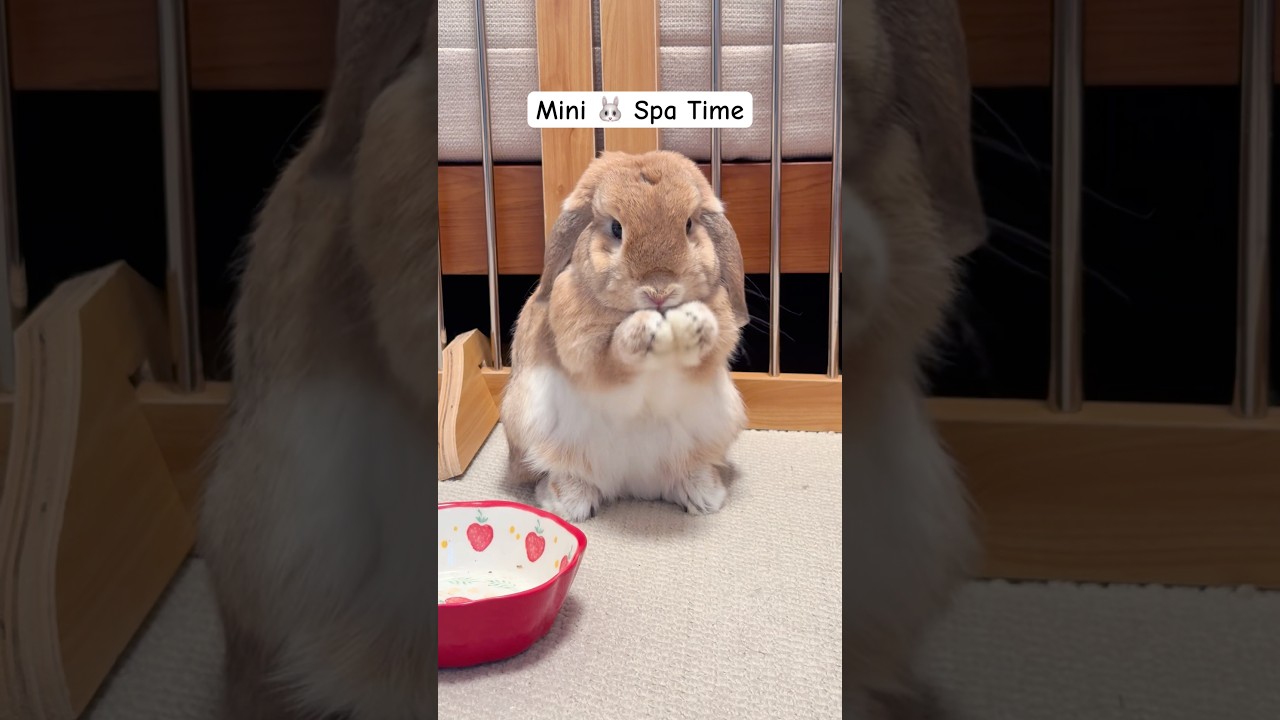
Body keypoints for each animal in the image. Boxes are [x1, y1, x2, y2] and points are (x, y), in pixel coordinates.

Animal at [500, 149, 750, 523]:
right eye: (616, 228)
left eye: (689, 225)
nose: (659, 291)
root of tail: (634, 485)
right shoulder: (584, 353)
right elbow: (612, 361)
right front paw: (642, 331)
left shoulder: (712, 356)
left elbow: (701, 357)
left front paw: (697, 324)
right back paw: (567, 503)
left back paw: (704, 495)